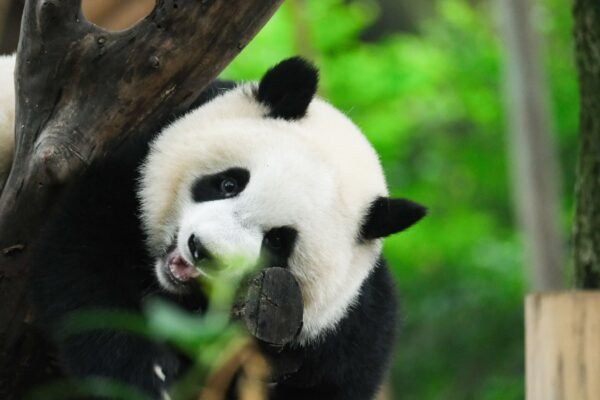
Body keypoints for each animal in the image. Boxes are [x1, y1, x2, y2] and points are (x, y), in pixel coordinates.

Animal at [0, 54, 426, 398]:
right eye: (229, 184)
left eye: (277, 241)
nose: (201, 250)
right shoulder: (130, 171)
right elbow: (85, 268)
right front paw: (147, 376)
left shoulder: (347, 331)